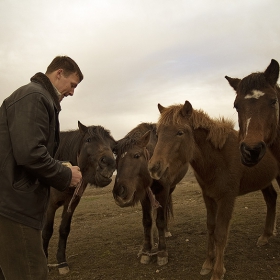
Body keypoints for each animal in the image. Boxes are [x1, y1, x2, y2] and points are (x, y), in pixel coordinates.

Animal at [41, 120, 116, 274]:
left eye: (113, 147)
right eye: (89, 140)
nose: (109, 163)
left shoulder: (71, 202)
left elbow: (64, 230)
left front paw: (62, 262)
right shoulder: (50, 205)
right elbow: (47, 231)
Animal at [111, 123, 188, 266]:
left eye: (136, 155)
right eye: (116, 159)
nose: (119, 192)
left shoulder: (163, 191)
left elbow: (160, 220)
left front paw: (162, 252)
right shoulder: (144, 195)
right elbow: (147, 222)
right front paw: (146, 251)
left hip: (170, 189)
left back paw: (166, 232)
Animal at [148, 100, 278, 280]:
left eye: (180, 132)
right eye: (158, 134)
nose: (154, 168)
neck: (218, 158)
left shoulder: (227, 198)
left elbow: (221, 233)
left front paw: (218, 271)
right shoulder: (208, 196)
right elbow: (211, 227)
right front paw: (208, 263)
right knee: (271, 199)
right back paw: (265, 236)